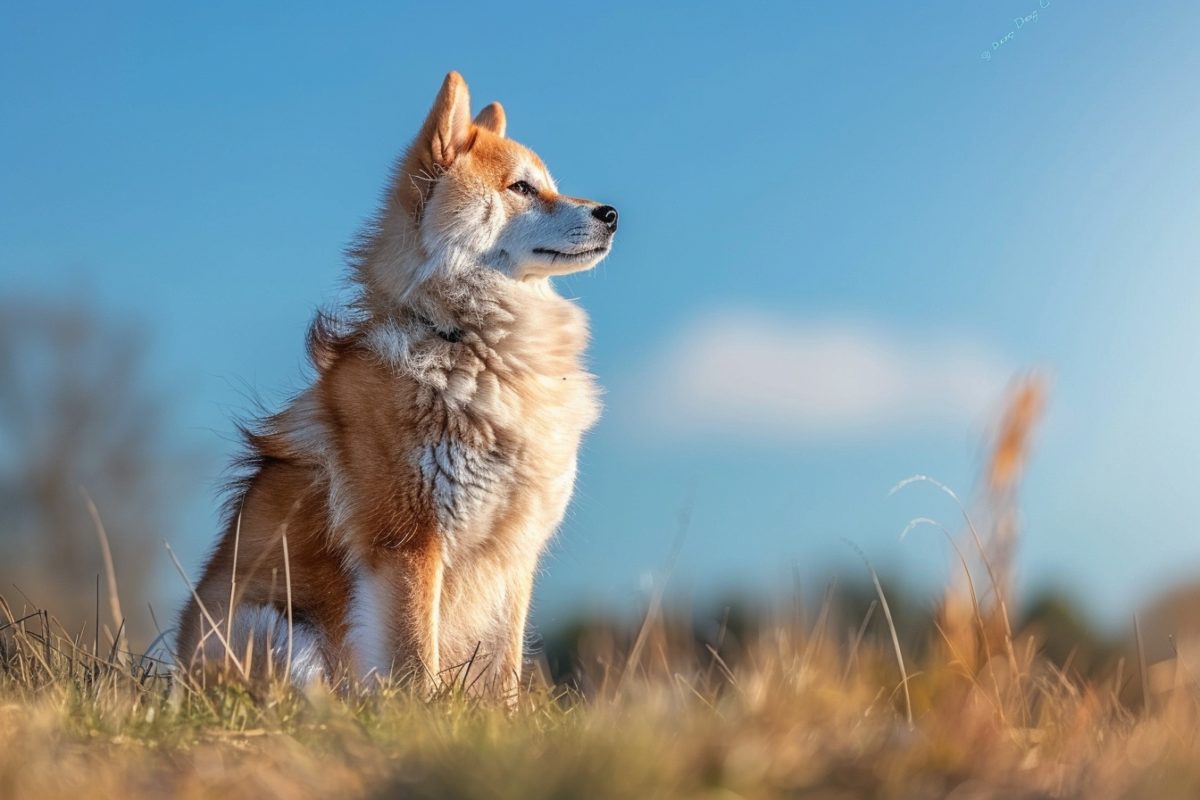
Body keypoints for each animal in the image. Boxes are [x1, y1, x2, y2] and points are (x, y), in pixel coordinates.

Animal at [175, 70, 619, 695]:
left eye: (548, 185)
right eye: (522, 188)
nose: (611, 213)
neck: (474, 347)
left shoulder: (513, 556)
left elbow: (502, 672)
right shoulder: (410, 542)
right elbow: (414, 661)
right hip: (281, 634)